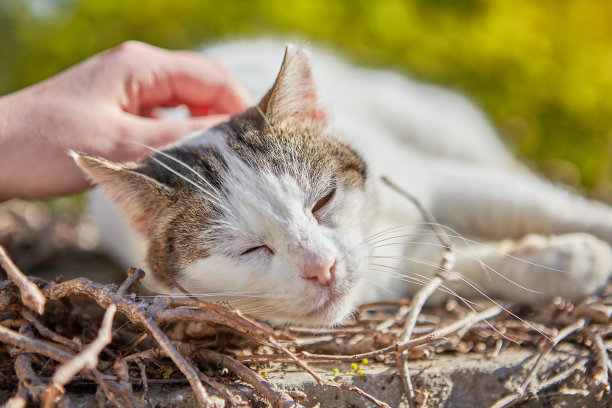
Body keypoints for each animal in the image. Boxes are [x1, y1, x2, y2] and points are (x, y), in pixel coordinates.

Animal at [73, 39, 612, 326]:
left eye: (323, 200)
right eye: (250, 250)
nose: (322, 268)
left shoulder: (435, 179)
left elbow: (542, 206)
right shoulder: (398, 269)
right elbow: (457, 269)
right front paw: (565, 260)